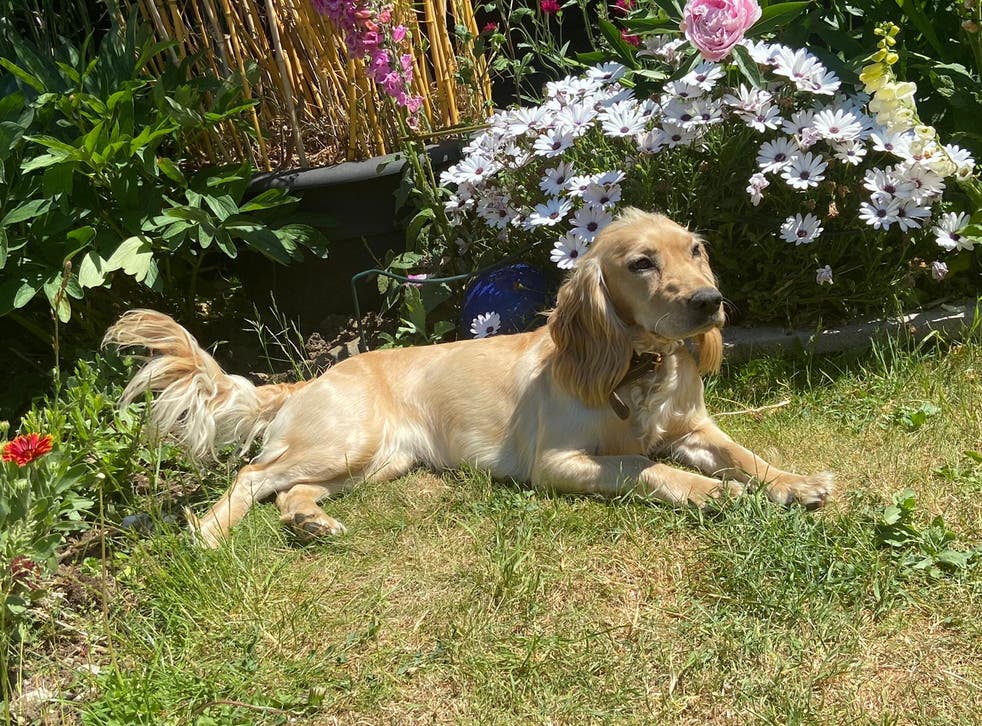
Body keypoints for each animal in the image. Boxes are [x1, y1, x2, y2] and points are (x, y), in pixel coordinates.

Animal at [105, 208, 832, 548]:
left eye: (696, 250)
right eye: (642, 262)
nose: (710, 302)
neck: (638, 364)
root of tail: (307, 379)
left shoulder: (695, 428)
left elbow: (746, 456)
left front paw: (797, 483)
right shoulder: (555, 462)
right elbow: (645, 467)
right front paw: (710, 493)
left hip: (377, 463)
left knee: (289, 492)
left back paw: (311, 522)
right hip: (344, 440)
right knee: (253, 476)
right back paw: (207, 533)